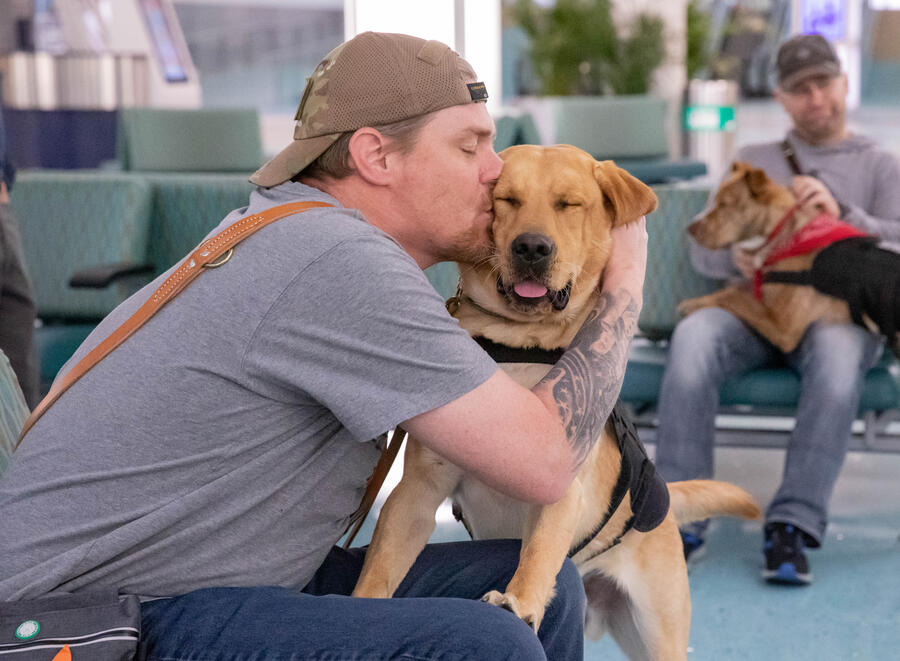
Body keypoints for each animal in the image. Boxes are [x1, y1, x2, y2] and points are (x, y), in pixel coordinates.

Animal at [353, 145, 761, 661]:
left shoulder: (560, 489)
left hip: (658, 634)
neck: (520, 344)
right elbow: (380, 565)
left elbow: (538, 550)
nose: (531, 248)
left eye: (569, 204)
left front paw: (520, 601)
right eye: (506, 199)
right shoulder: (418, 491)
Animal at [681, 161, 899, 354]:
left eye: (724, 204)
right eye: (714, 200)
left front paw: (691, 305)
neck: (781, 231)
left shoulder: (784, 328)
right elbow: (734, 292)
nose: (689, 227)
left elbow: (734, 296)